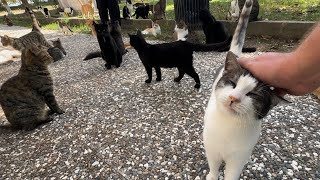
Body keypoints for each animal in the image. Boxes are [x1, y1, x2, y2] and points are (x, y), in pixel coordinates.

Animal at [204, 0, 286, 179]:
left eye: (252, 94)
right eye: (233, 84)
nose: (233, 98)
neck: (229, 126)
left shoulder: (239, 158)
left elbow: (232, 173)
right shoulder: (212, 148)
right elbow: (213, 164)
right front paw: (212, 175)